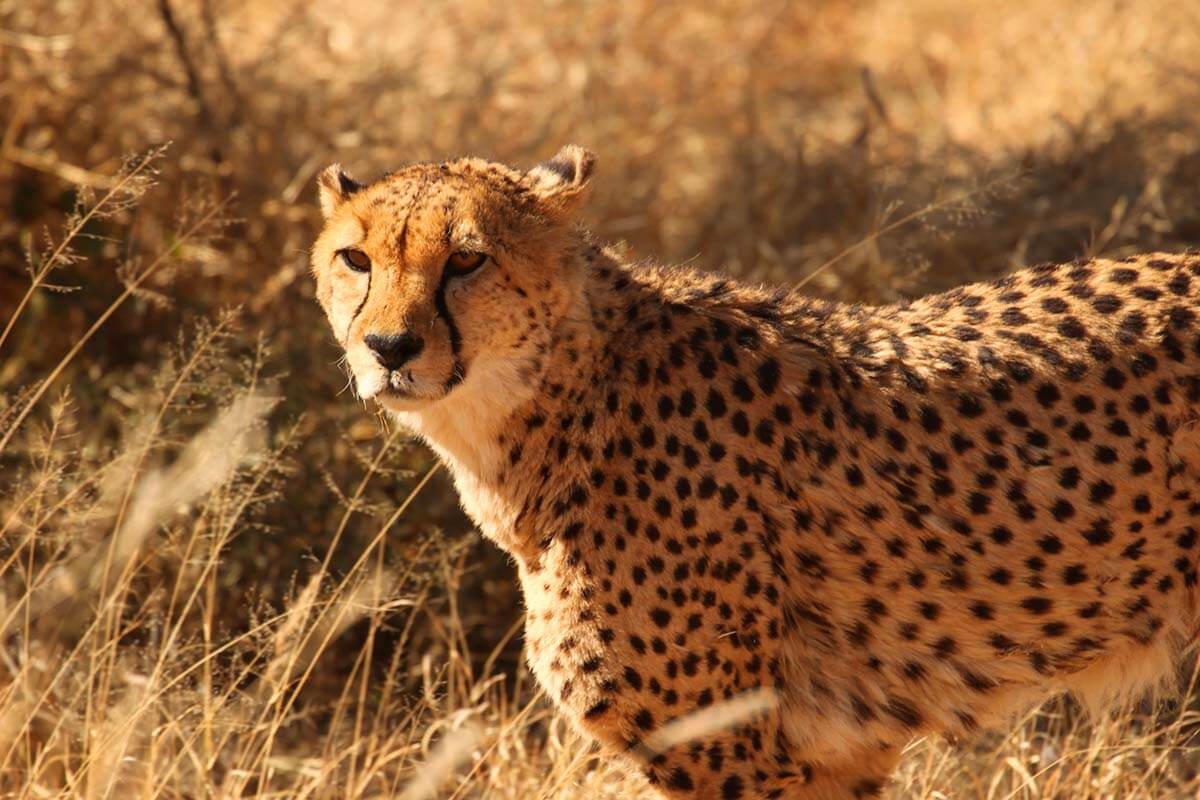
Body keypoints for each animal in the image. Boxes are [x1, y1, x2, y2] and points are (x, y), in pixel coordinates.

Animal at [310, 144, 1200, 799]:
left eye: (466, 261)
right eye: (355, 258)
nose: (387, 347)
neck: (569, 395)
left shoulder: (739, 751)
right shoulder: (837, 756)